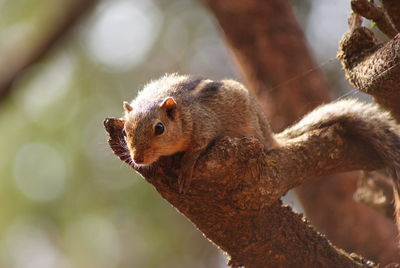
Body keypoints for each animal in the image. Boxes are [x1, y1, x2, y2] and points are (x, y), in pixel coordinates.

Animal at [122, 74, 400, 199]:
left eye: (159, 128)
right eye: (125, 130)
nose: (138, 158)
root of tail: (268, 135)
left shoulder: (203, 127)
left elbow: (196, 149)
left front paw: (186, 169)